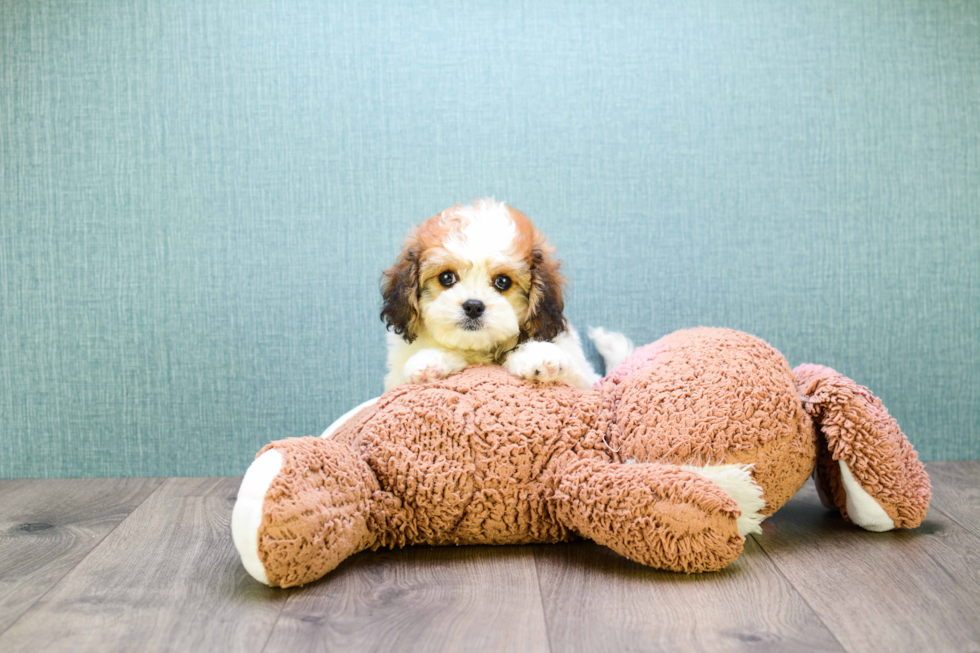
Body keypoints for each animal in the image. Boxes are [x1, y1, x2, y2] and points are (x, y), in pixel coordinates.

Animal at [378, 199, 624, 390]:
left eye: (503, 282)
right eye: (446, 277)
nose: (473, 306)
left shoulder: (586, 381)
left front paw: (537, 356)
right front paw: (429, 361)